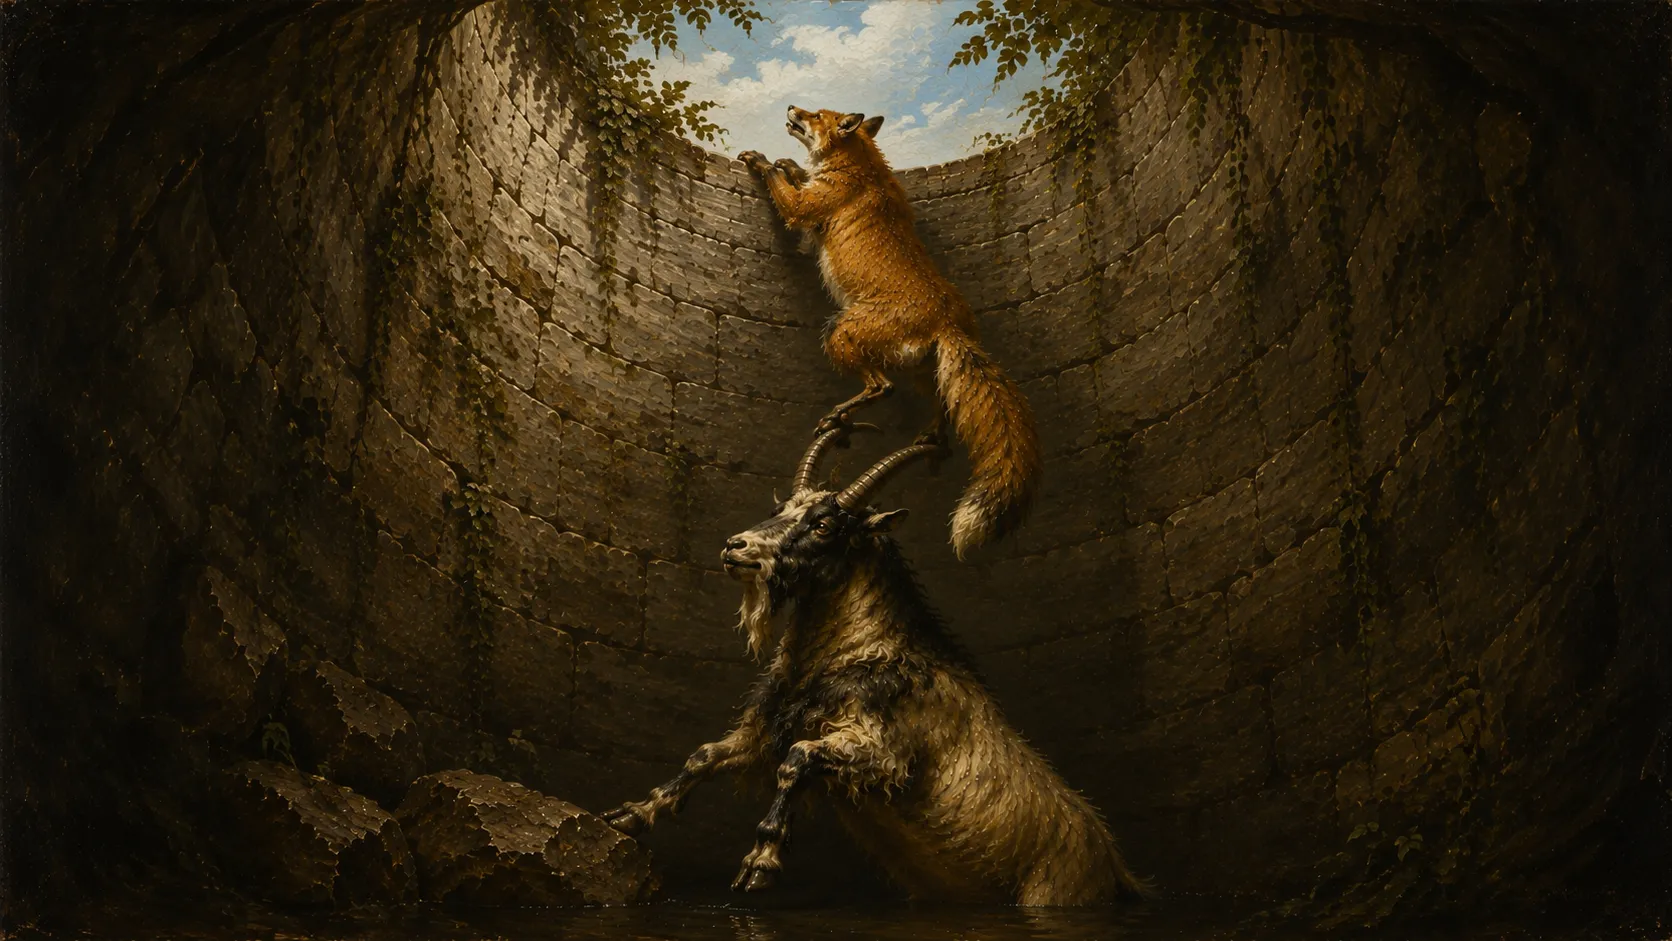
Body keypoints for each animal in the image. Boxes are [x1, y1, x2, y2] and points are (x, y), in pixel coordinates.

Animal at [739, 105, 1042, 559]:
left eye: (816, 114)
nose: (791, 107)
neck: (858, 166)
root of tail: (948, 321)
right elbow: (795, 174)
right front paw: (791, 164)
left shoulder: (803, 208)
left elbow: (784, 188)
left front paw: (762, 161)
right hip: (922, 370)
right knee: (941, 403)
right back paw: (932, 439)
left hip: (840, 331)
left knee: (881, 387)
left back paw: (839, 416)